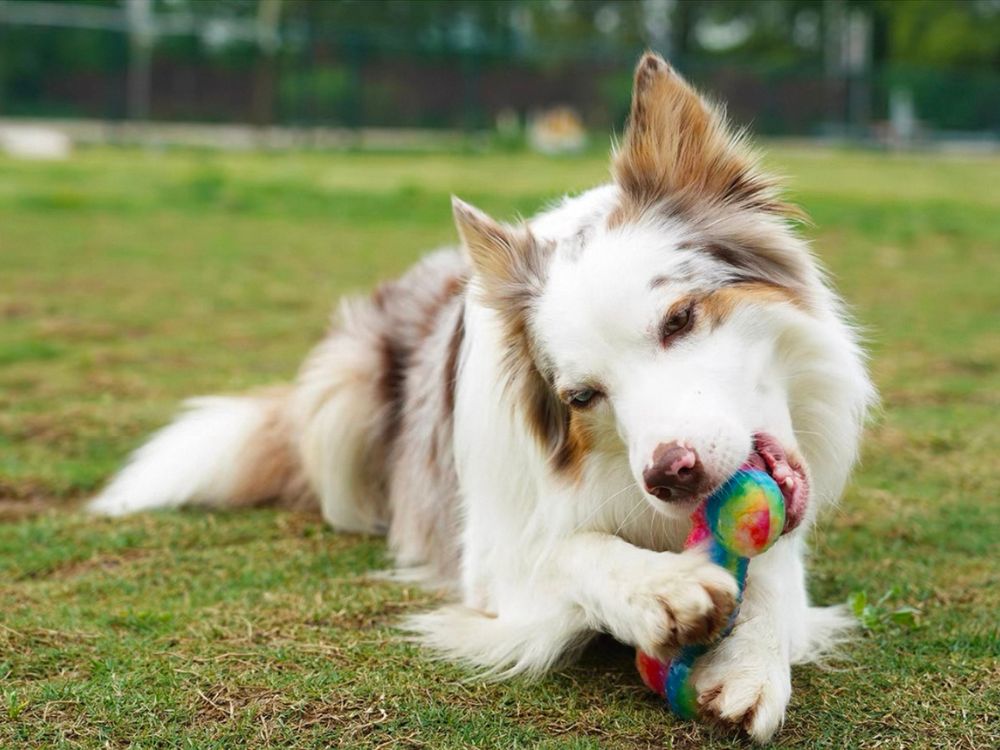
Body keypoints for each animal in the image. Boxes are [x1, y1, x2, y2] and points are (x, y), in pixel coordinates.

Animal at [94, 55, 876, 744]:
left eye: (679, 319)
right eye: (583, 395)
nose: (669, 475)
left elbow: (771, 574)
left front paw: (749, 666)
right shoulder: (492, 555)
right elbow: (569, 551)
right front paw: (659, 589)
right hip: (342, 398)